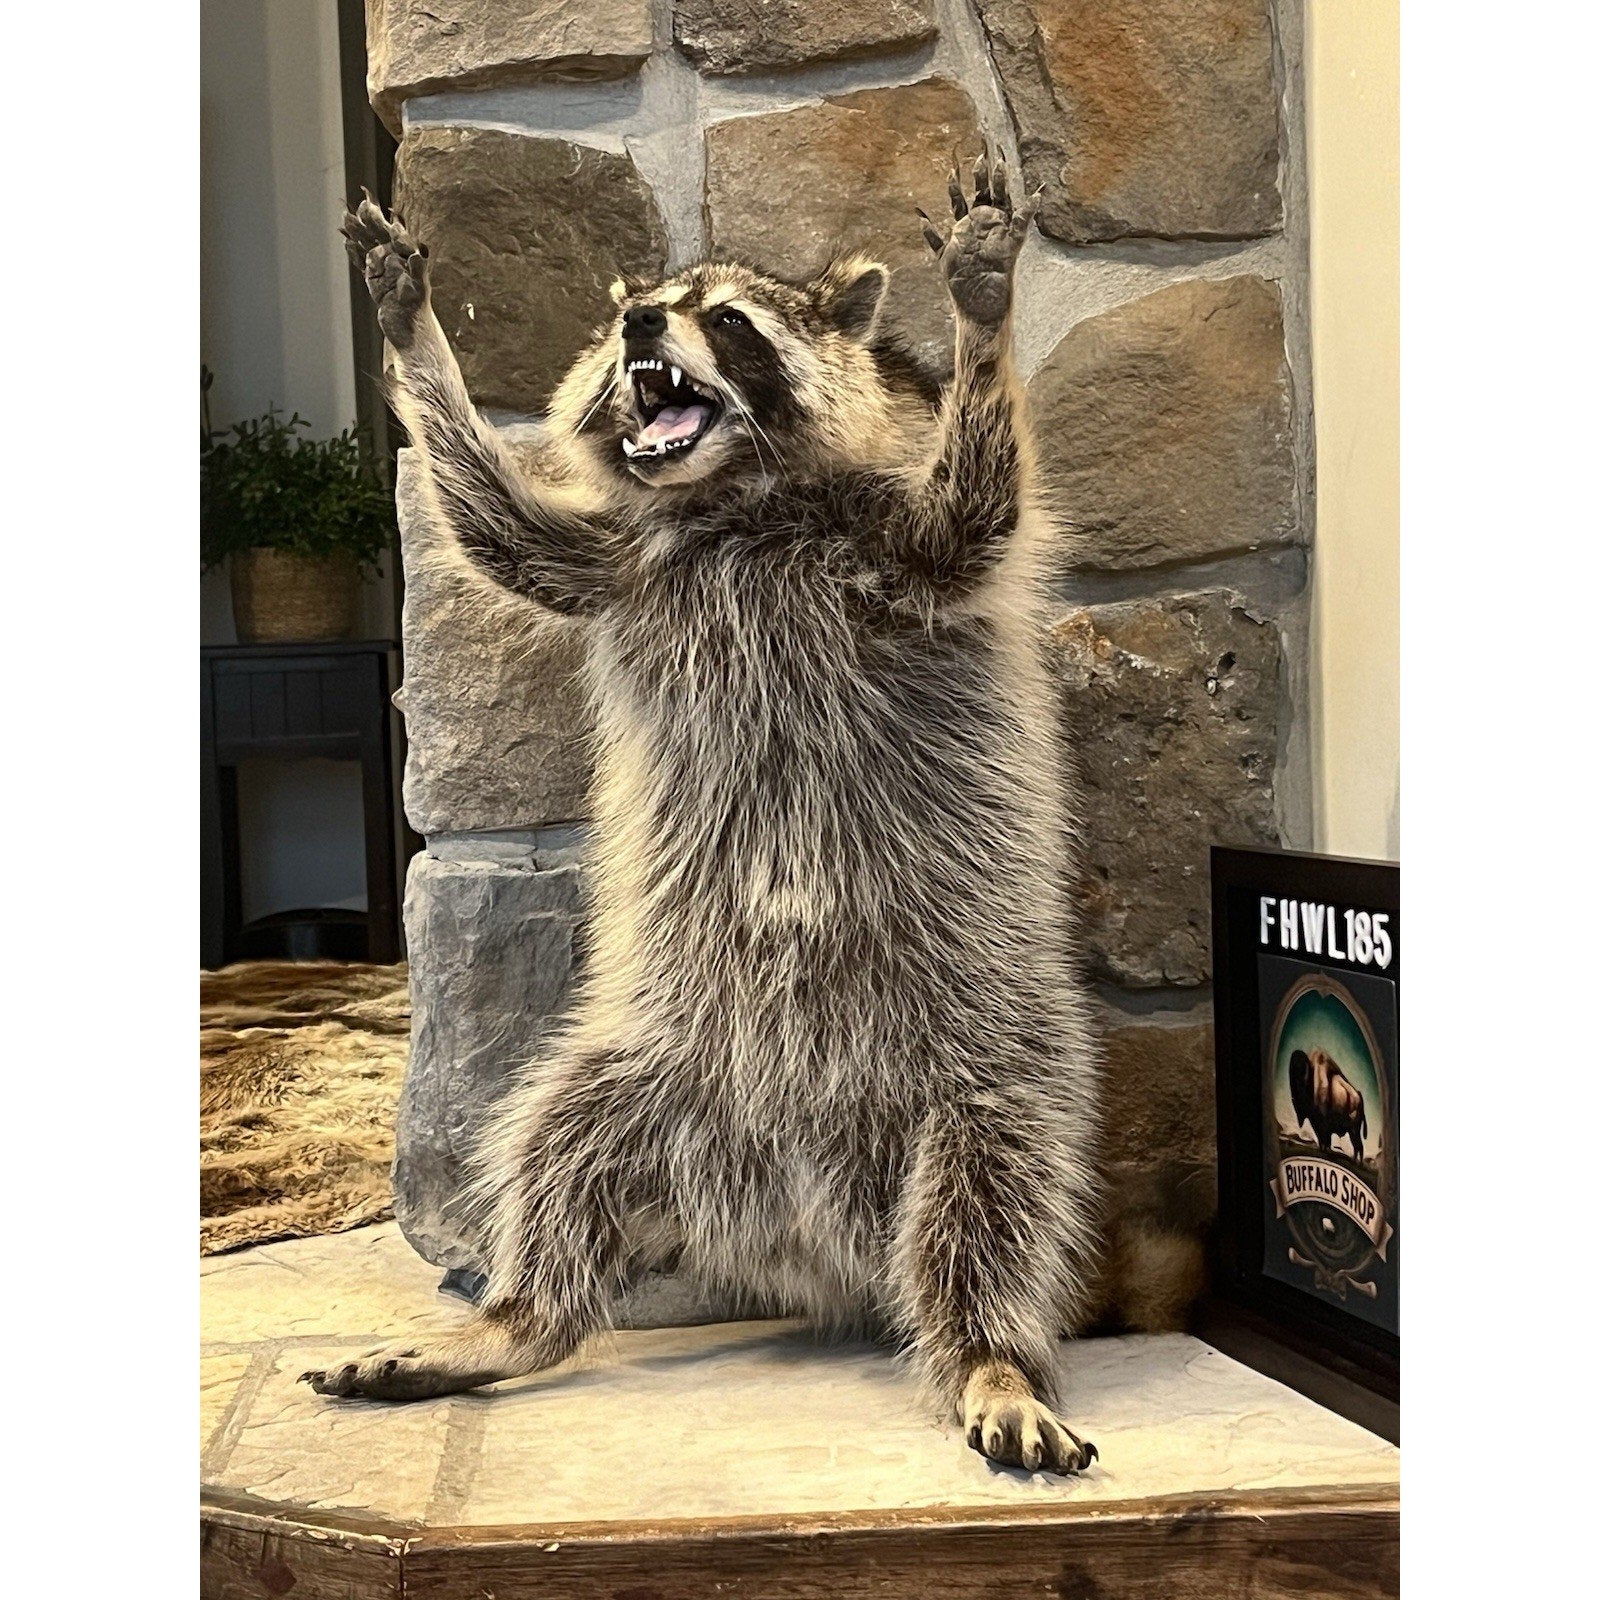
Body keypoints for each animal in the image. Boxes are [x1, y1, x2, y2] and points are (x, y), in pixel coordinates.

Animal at [309, 155, 1102, 1475]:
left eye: (726, 319)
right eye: (642, 306)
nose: (641, 321)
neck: (733, 501)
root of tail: (794, 1210)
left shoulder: (890, 552)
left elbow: (974, 509)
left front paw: (982, 312)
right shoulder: (620, 564)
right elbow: (495, 526)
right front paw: (414, 337)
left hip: (986, 1057)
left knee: (991, 1202)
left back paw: (988, 1354)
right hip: (640, 1058)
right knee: (550, 1149)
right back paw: (516, 1317)